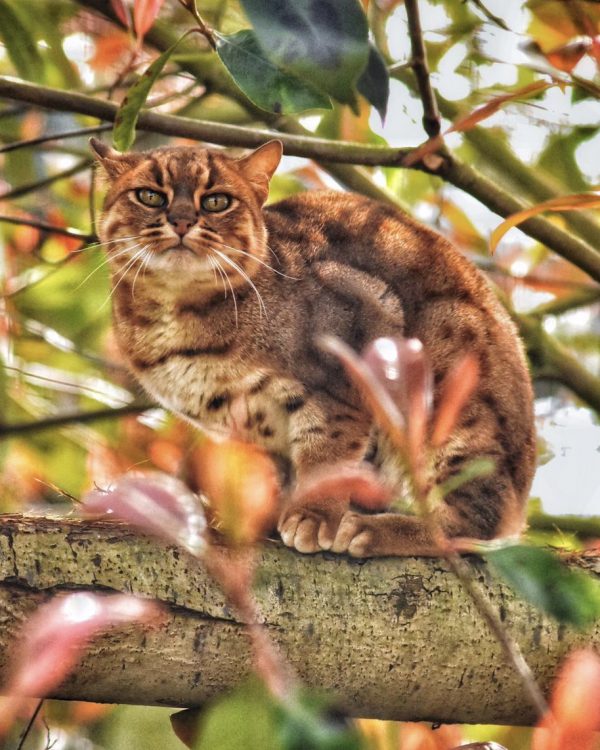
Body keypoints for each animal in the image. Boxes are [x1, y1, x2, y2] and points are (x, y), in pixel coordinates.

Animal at [90, 137, 536, 557]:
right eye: (150, 195)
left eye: (217, 201)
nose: (181, 220)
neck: (177, 317)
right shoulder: (245, 430)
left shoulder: (353, 346)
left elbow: (328, 455)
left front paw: (314, 516)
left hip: (447, 391)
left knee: (476, 524)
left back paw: (370, 529)